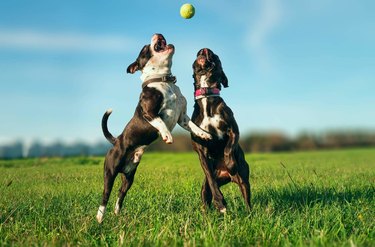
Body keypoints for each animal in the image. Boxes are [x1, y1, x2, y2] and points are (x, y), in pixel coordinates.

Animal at [95, 33, 213, 223]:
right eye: (144, 48)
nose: (157, 34)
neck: (164, 81)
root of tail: (116, 141)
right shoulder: (148, 113)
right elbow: (160, 122)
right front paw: (167, 136)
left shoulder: (182, 118)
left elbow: (194, 126)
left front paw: (204, 134)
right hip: (110, 172)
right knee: (105, 194)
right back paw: (100, 217)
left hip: (129, 176)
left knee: (121, 194)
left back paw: (117, 212)